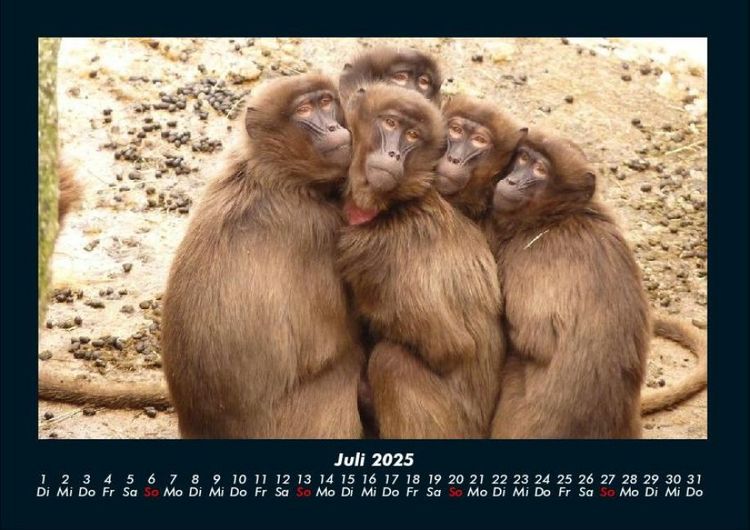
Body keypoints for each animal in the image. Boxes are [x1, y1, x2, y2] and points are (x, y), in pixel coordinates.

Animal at [337, 84, 504, 438]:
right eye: (389, 123)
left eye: (412, 135)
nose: (393, 154)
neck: (396, 205)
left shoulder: (379, 252)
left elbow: (448, 347)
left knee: (390, 361)